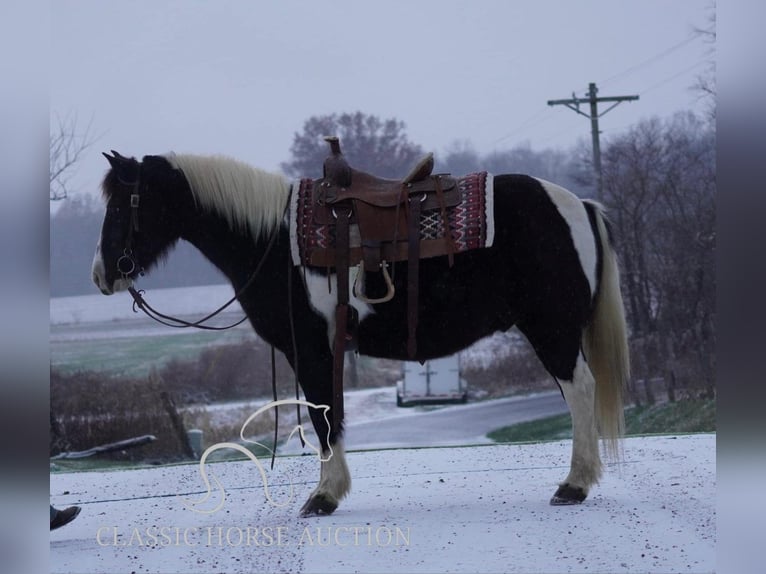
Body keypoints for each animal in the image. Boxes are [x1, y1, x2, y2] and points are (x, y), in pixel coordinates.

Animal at [91, 150, 632, 516]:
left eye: (119, 209)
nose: (102, 274)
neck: (271, 240)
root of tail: (577, 204)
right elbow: (330, 415)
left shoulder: (312, 350)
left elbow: (323, 418)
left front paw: (323, 497)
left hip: (552, 330)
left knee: (580, 391)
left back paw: (574, 485)